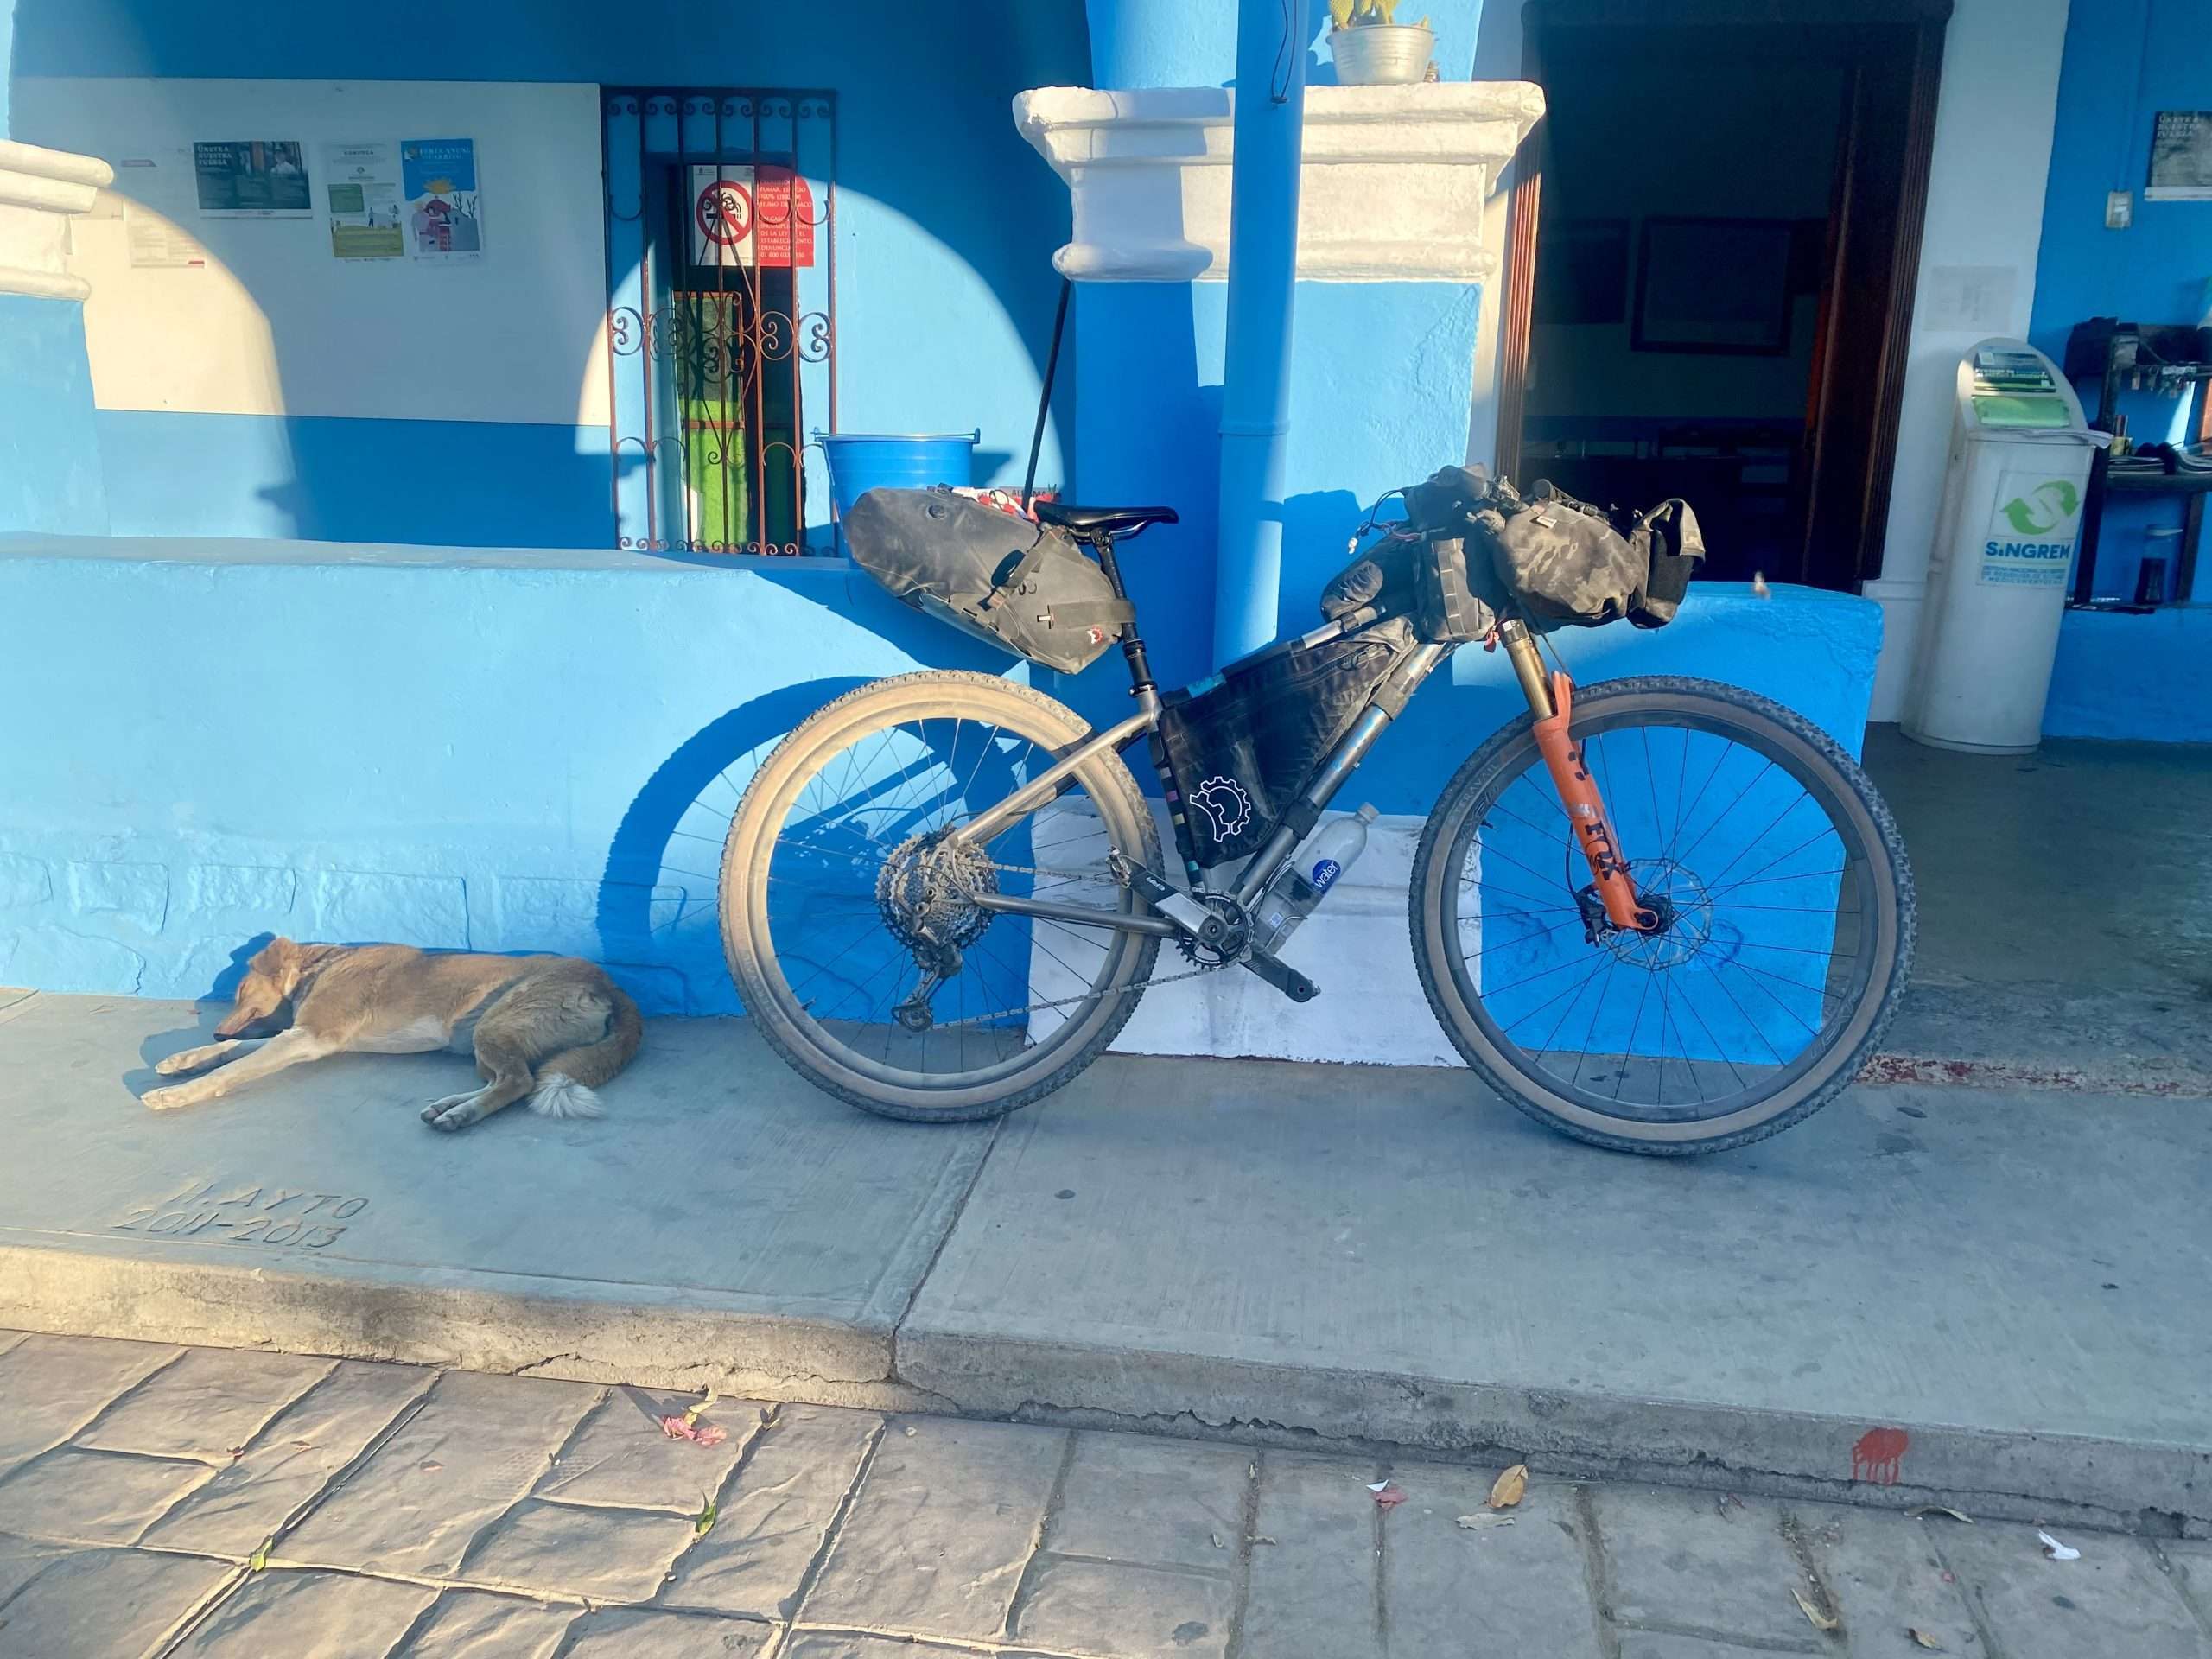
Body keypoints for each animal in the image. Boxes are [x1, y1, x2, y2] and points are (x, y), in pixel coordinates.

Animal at [143, 942, 645, 1141]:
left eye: (240, 991)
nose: (214, 1028)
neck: (325, 962)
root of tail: (612, 984)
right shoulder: (296, 1036)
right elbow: (231, 1053)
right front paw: (185, 1058)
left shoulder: (308, 1037)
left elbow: (233, 1068)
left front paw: (176, 1095)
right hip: (480, 1038)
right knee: (507, 1077)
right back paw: (448, 1105)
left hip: (496, 1023)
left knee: (519, 1082)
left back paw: (461, 1116)